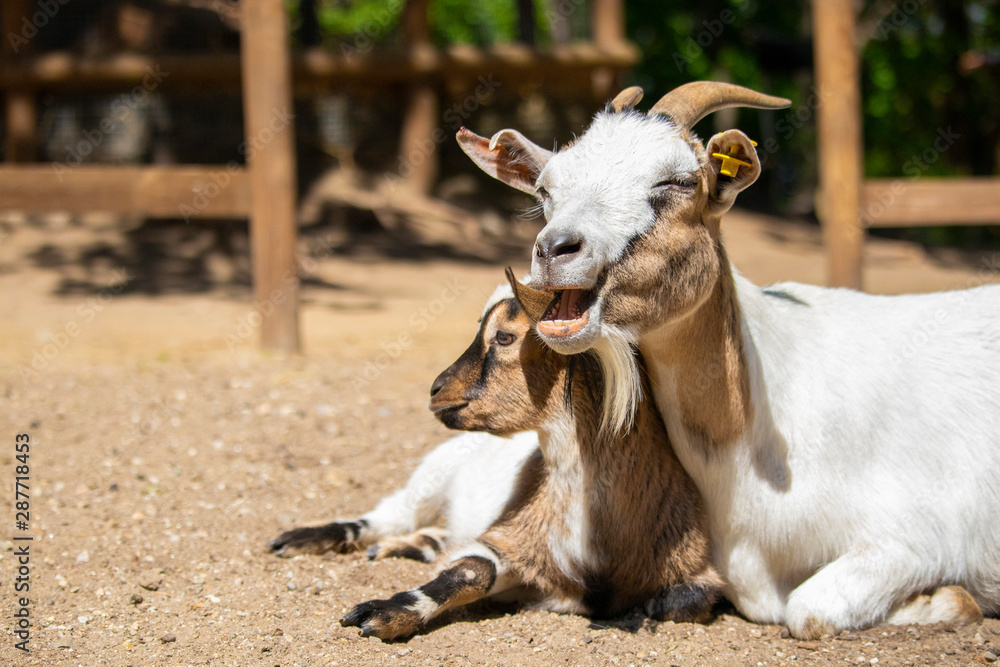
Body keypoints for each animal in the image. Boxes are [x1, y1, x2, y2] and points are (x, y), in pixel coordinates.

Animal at [339, 271, 722, 640]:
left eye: (504, 337)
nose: (436, 390)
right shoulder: (514, 536)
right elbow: (472, 570)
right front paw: (383, 614)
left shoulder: (695, 566)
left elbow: (687, 601)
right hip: (432, 476)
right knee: (392, 514)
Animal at [457, 81, 996, 639]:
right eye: (546, 189)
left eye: (677, 181)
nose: (554, 249)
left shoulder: (917, 536)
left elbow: (806, 610)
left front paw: (944, 600)